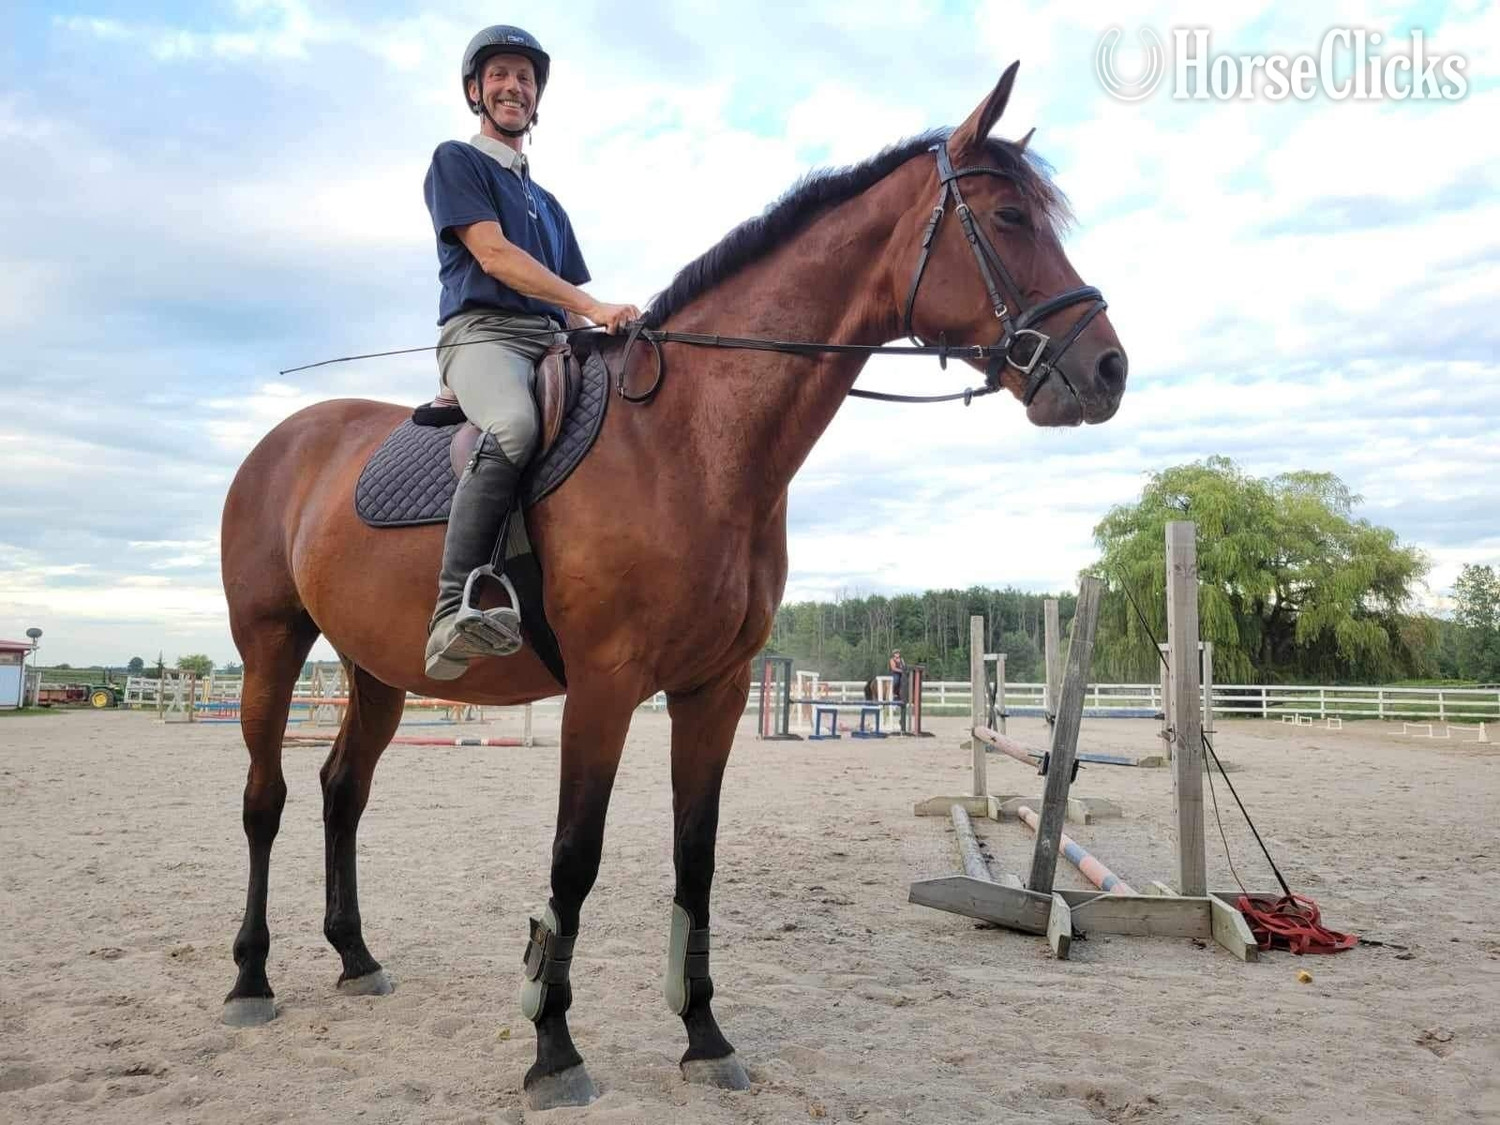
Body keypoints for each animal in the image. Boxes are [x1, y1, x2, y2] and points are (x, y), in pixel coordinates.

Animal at [218, 63, 1127, 1109]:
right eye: (1011, 216)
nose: (1108, 367)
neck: (691, 439)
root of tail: (285, 438)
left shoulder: (714, 689)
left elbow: (698, 855)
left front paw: (703, 1034)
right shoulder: (605, 688)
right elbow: (574, 859)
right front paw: (553, 1047)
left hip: (377, 669)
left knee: (342, 791)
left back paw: (356, 957)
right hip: (271, 645)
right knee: (266, 798)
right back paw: (251, 980)